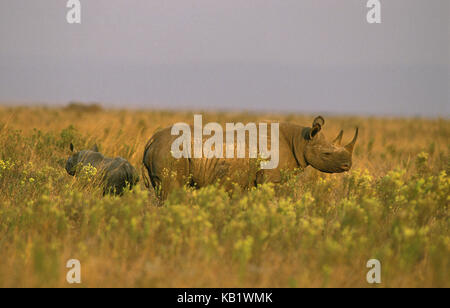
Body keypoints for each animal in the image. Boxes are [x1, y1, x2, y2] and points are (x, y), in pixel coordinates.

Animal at [142, 115, 356, 200]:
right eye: (326, 154)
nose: (348, 165)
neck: (300, 140)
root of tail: (151, 140)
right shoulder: (272, 179)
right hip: (170, 151)